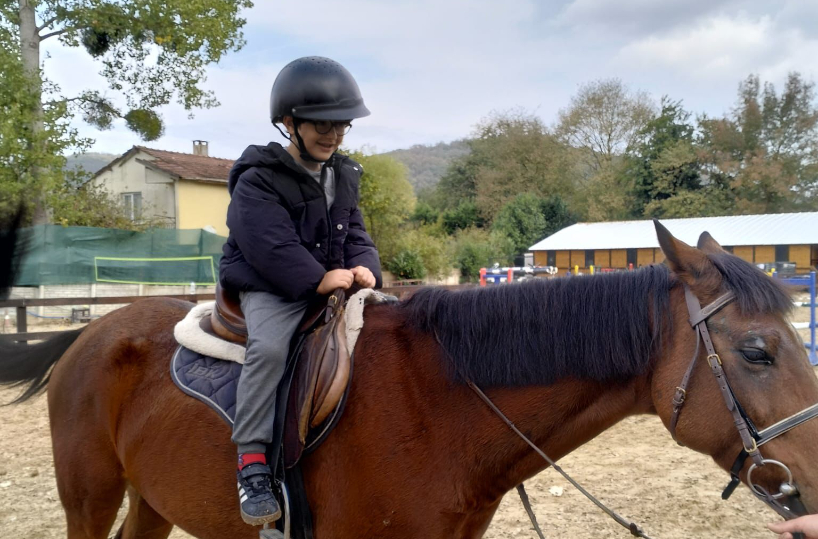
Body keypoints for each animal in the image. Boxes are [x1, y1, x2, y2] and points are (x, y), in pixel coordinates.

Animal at [2, 218, 818, 539]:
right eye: (756, 352)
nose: (812, 482)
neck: (443, 405)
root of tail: (94, 330)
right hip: (90, 497)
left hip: (151, 497)